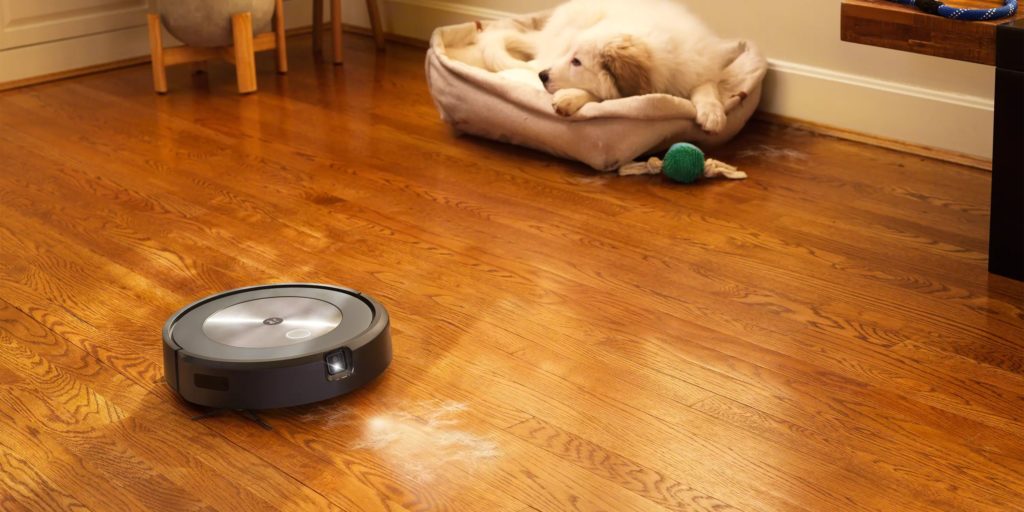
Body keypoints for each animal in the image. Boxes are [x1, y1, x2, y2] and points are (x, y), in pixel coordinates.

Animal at [466, 0, 745, 134]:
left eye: (577, 62)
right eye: (571, 56)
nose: (543, 76)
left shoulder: (698, 68)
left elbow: (707, 88)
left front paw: (713, 114)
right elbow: (606, 94)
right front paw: (570, 97)